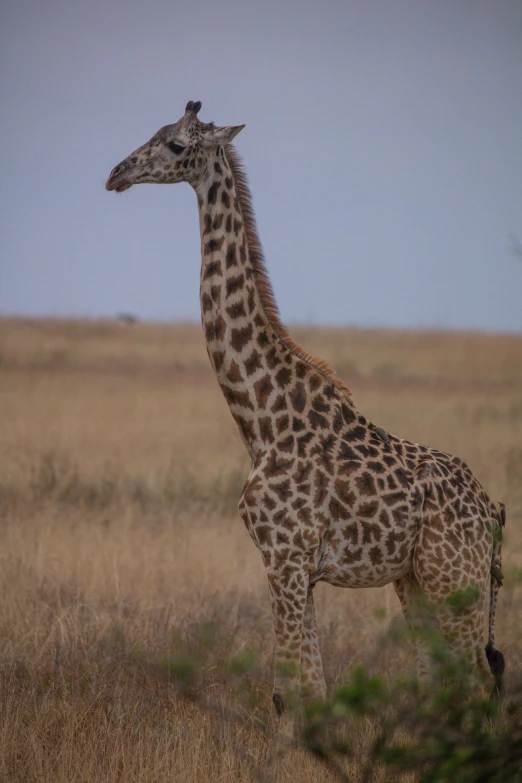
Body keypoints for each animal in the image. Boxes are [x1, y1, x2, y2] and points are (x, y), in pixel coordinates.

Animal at [106, 99, 504, 716]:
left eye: (175, 144)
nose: (117, 174)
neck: (260, 419)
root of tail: (494, 514)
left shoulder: (286, 558)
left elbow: (296, 692)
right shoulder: (290, 566)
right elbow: (302, 690)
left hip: (454, 577)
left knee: (476, 684)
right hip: (413, 579)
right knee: (437, 680)